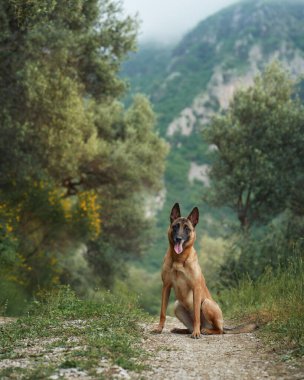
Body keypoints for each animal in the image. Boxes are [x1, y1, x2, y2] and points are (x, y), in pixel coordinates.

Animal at [153, 203, 255, 340]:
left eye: (187, 229)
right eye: (175, 226)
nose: (178, 239)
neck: (179, 259)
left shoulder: (196, 289)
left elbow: (197, 315)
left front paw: (196, 333)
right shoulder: (166, 287)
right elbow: (162, 312)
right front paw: (159, 328)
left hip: (207, 304)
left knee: (218, 330)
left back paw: (204, 331)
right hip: (177, 306)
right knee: (190, 327)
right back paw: (182, 330)